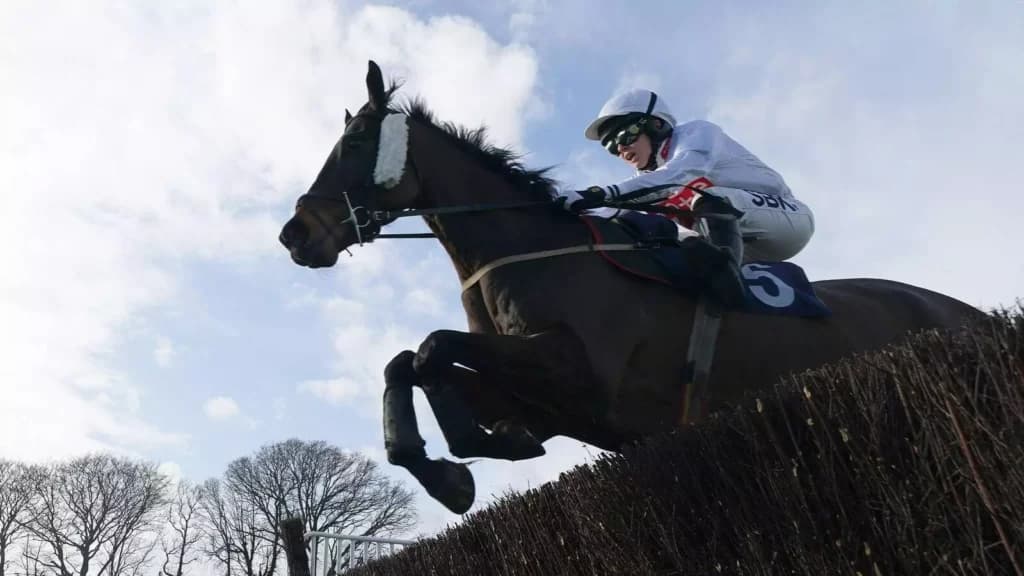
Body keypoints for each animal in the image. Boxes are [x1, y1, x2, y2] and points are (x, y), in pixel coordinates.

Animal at [279, 61, 983, 514]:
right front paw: (448, 464)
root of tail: (972, 310)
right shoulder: (545, 404)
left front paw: (454, 460)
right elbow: (409, 362)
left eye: (356, 140)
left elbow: (429, 347)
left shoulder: (583, 375)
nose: (295, 234)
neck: (534, 251)